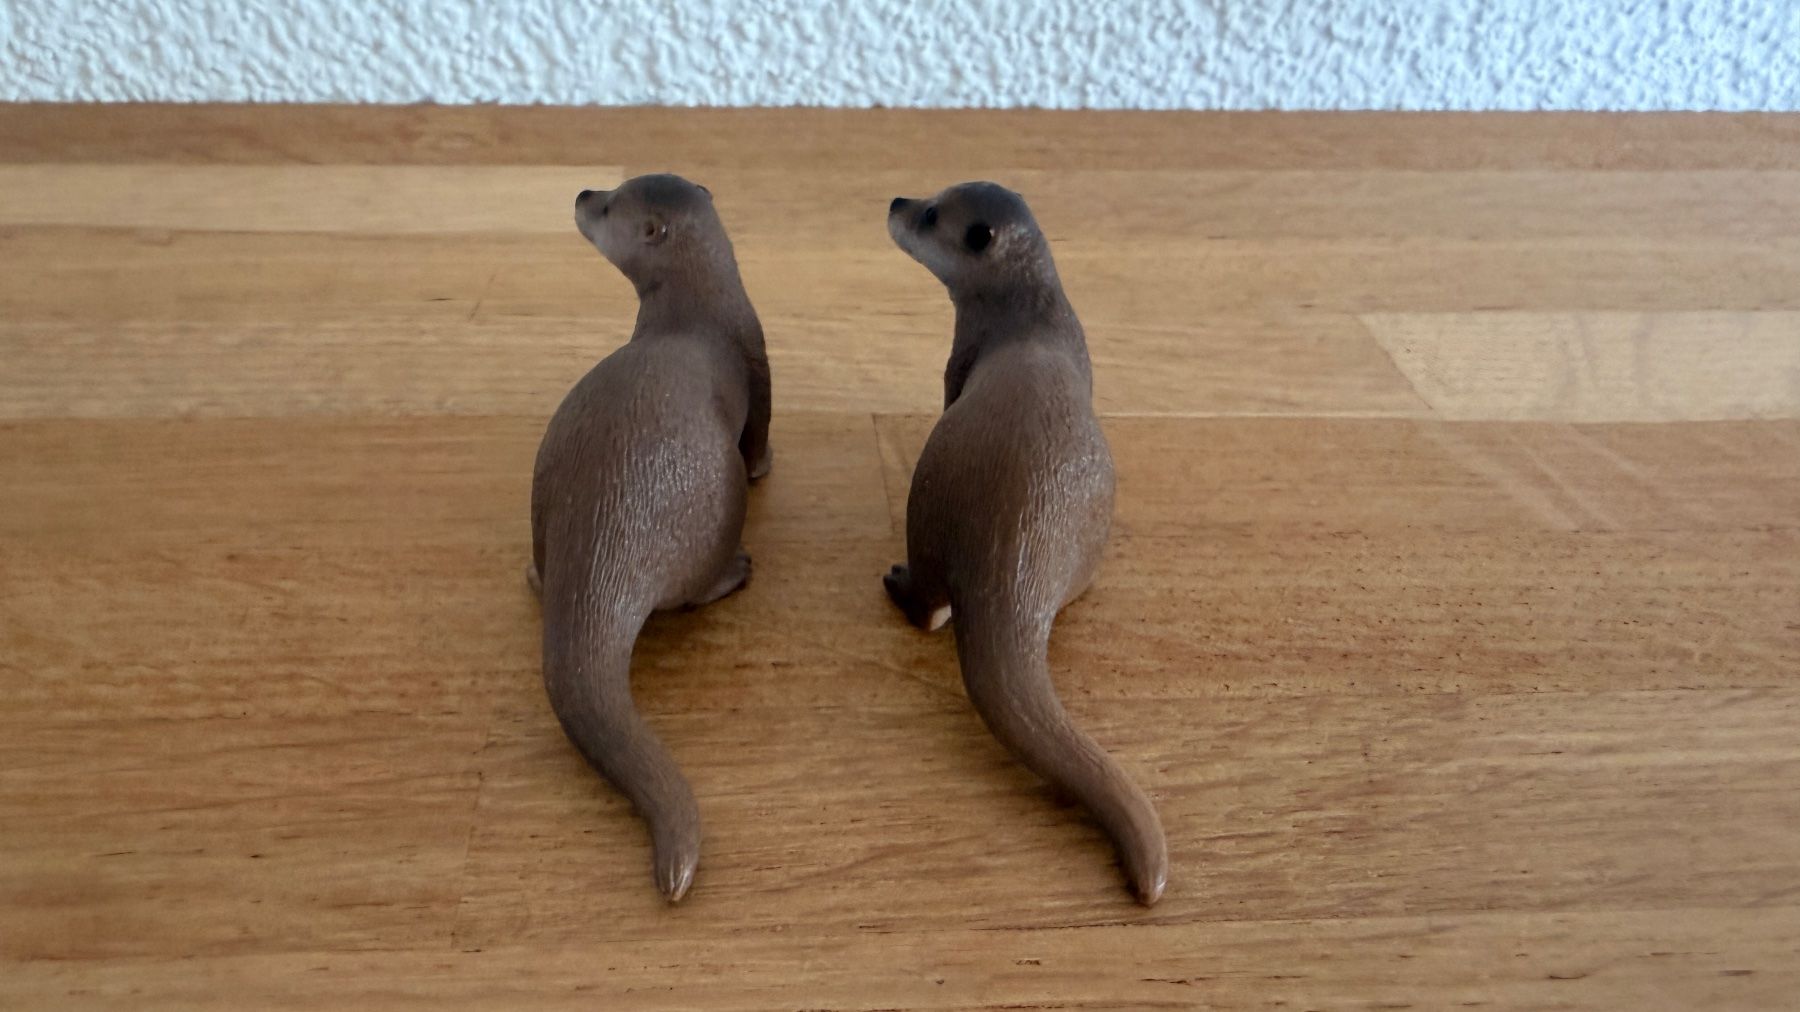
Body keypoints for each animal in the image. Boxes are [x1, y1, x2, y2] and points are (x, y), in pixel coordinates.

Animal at [530, 173, 771, 902]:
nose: (582, 191)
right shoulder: (759, 361)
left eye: (610, 202)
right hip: (715, 504)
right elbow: (760, 436)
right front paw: (766, 465)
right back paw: (736, 571)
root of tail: (606, 537)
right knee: (695, 586)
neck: (698, 309)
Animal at [882, 182, 1168, 905]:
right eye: (930, 192)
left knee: (928, 605)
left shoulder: (958, 362)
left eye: (931, 215)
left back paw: (897, 585)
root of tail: (1011, 552)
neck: (1029, 316)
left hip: (927, 507)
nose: (897, 200)